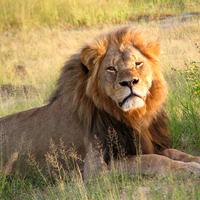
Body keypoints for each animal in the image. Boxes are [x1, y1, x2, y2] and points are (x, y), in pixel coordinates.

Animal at [0, 26, 200, 178]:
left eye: (138, 64)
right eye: (111, 68)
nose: (129, 82)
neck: (133, 117)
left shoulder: (148, 144)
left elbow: (175, 153)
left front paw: (194, 161)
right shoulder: (96, 167)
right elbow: (153, 160)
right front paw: (190, 169)